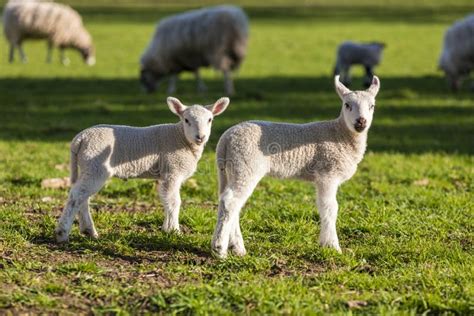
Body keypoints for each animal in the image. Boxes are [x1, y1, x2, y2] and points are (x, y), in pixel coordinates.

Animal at [55, 96, 230, 242]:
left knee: (83, 196)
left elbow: (166, 200)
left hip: (88, 167)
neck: (180, 137)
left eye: (210, 120)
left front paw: (166, 228)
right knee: (77, 195)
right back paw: (62, 233)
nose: (200, 137)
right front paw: (174, 231)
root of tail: (79, 138)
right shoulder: (172, 171)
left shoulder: (165, 175)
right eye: (186, 120)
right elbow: (174, 201)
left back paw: (88, 231)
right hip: (96, 165)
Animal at [213, 75, 380, 258]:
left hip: (229, 169)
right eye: (347, 105)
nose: (361, 122)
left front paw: (325, 244)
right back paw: (220, 248)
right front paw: (332, 246)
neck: (339, 134)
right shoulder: (327, 173)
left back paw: (237, 248)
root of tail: (226, 138)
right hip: (245, 164)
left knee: (229, 202)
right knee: (230, 201)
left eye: (372, 106)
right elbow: (330, 207)